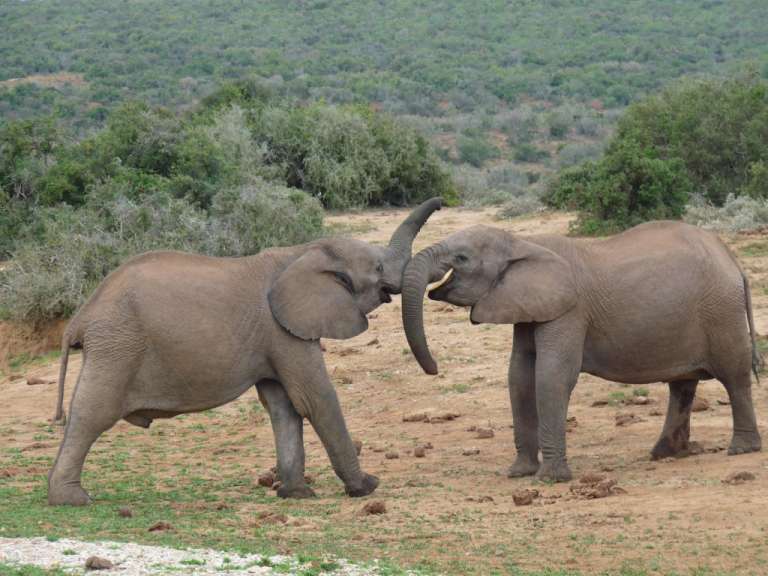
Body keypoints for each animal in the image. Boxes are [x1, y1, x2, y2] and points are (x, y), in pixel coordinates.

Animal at [47, 198, 442, 506]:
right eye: (377, 267)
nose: (433, 369)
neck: (303, 250)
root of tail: (81, 316)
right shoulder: (283, 329)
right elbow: (315, 398)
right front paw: (367, 488)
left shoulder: (274, 336)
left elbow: (283, 408)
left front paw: (296, 494)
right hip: (117, 344)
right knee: (92, 413)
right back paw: (72, 499)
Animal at [401, 221, 762, 481]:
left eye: (462, 258)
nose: (434, 368)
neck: (522, 241)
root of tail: (732, 260)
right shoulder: (530, 307)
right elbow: (519, 377)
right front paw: (519, 474)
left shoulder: (570, 310)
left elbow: (551, 376)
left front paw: (550, 480)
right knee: (683, 384)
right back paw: (664, 454)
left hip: (721, 311)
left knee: (734, 376)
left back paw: (741, 450)